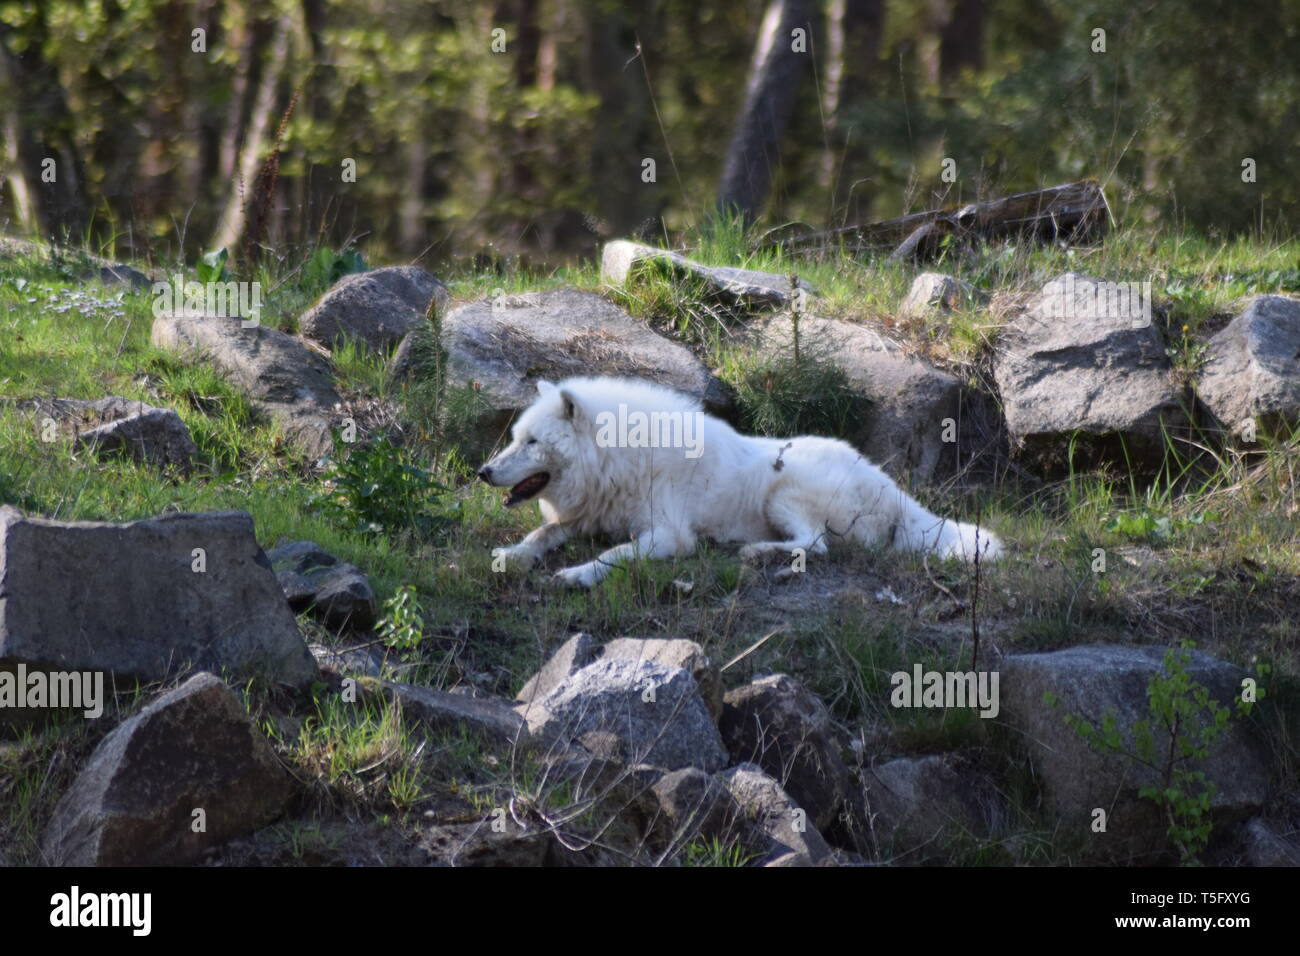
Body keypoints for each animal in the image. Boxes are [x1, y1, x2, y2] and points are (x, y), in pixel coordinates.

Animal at [478, 376, 1002, 587]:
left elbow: (615, 555)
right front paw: (513, 555)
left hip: (782, 493)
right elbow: (540, 533)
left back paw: (756, 553)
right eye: (516, 438)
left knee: (816, 545)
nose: (483, 472)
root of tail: (894, 490)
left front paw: (577, 574)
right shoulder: (582, 518)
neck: (615, 459)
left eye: (531, 442)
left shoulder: (669, 536)